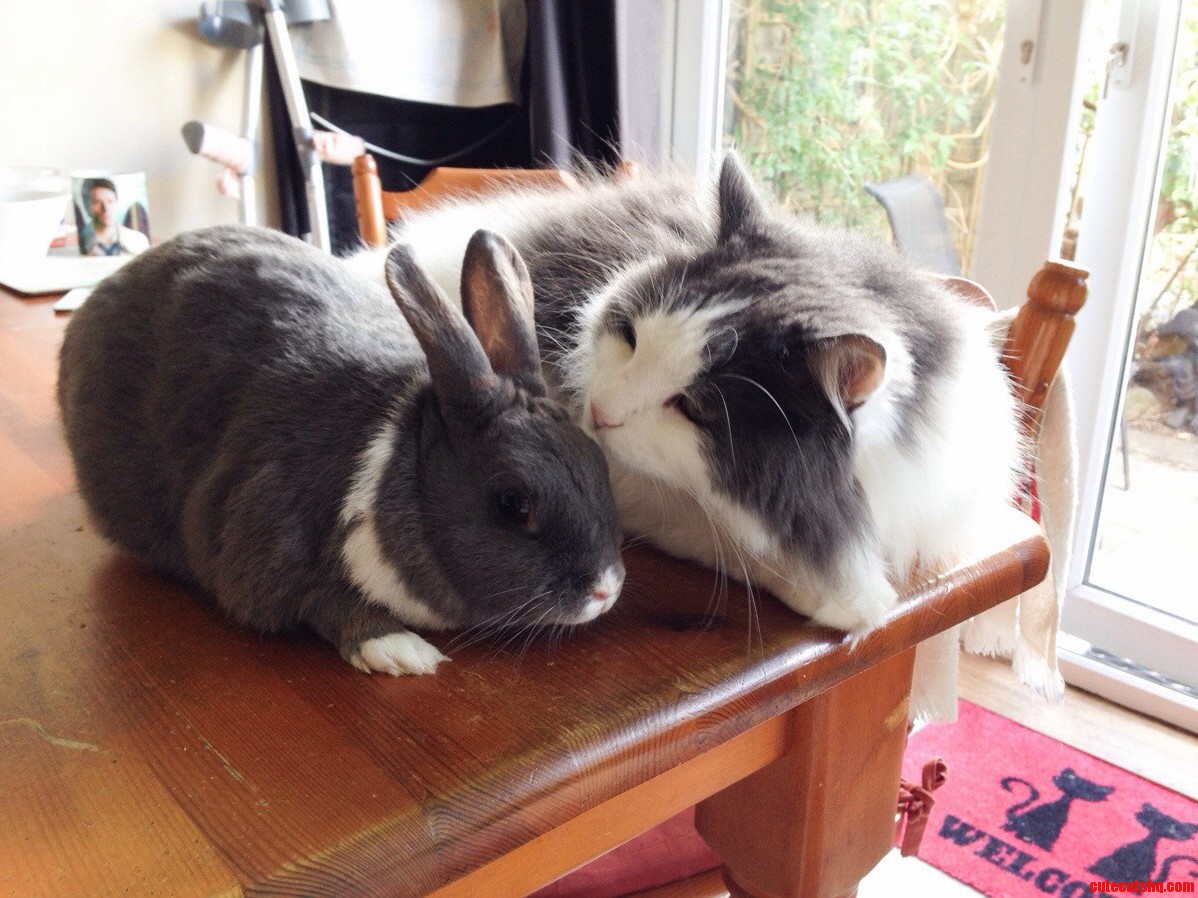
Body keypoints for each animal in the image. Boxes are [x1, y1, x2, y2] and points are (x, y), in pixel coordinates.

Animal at [58, 224, 625, 675]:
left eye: (598, 462)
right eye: (513, 503)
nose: (606, 590)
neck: (400, 459)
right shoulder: (264, 539)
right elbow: (322, 601)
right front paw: (402, 652)